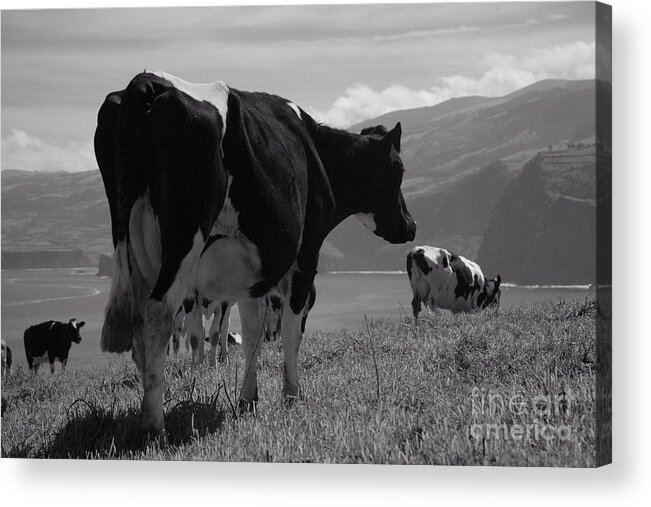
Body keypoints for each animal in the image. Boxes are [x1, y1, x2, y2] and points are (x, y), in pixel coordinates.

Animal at [94, 72, 416, 436]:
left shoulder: (252, 273)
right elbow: (289, 329)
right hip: (184, 242)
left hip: (134, 253)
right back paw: (153, 424)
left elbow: (252, 333)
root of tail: (148, 80)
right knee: (159, 313)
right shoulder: (306, 256)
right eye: (399, 169)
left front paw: (249, 399)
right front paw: (291, 394)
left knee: (139, 327)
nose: (410, 226)